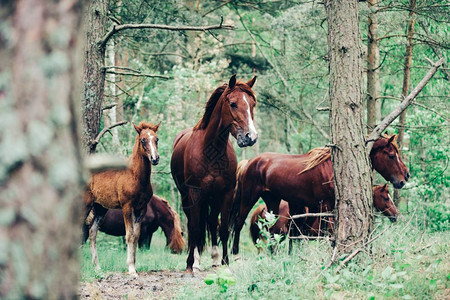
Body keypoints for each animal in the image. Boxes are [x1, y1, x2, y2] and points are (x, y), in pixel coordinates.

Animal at [84, 122, 160, 276]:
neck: (136, 177)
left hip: (100, 208)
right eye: (143, 140)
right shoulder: (127, 207)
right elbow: (129, 235)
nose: (155, 159)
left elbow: (136, 236)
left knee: (92, 231)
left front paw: (134, 265)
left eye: (157, 139)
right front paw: (131, 269)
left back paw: (97, 267)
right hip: (85, 204)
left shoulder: (141, 209)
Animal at [171, 74, 258, 272]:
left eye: (252, 104)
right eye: (233, 104)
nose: (251, 137)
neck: (212, 151)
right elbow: (196, 227)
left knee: (211, 222)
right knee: (193, 223)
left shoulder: (225, 193)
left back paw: (215, 257)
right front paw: (190, 263)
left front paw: (225, 261)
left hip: (212, 197)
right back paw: (196, 260)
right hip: (187, 196)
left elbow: (223, 228)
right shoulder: (195, 193)